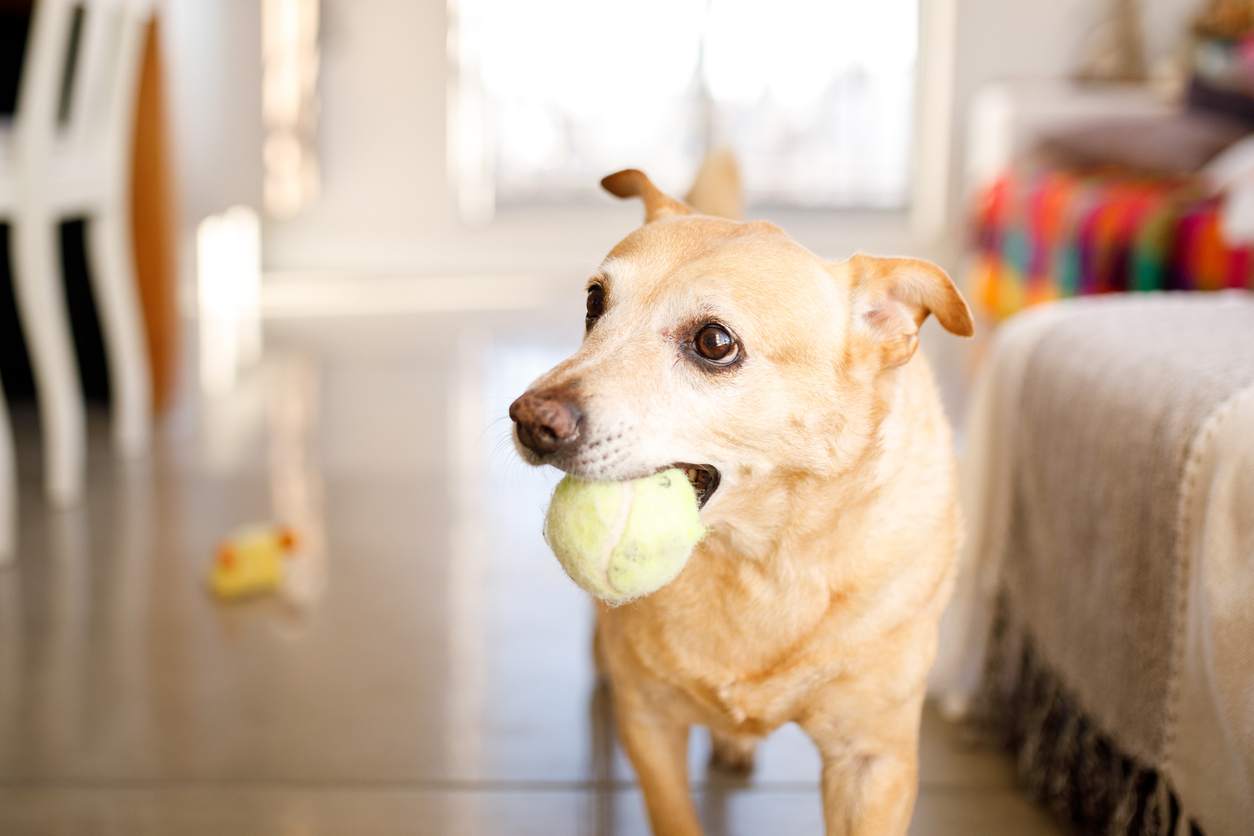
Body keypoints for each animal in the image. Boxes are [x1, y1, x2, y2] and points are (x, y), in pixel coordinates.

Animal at [506, 166, 968, 832]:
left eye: (714, 342)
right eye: (594, 302)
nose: (531, 421)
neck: (762, 557)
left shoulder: (872, 759)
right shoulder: (650, 722)